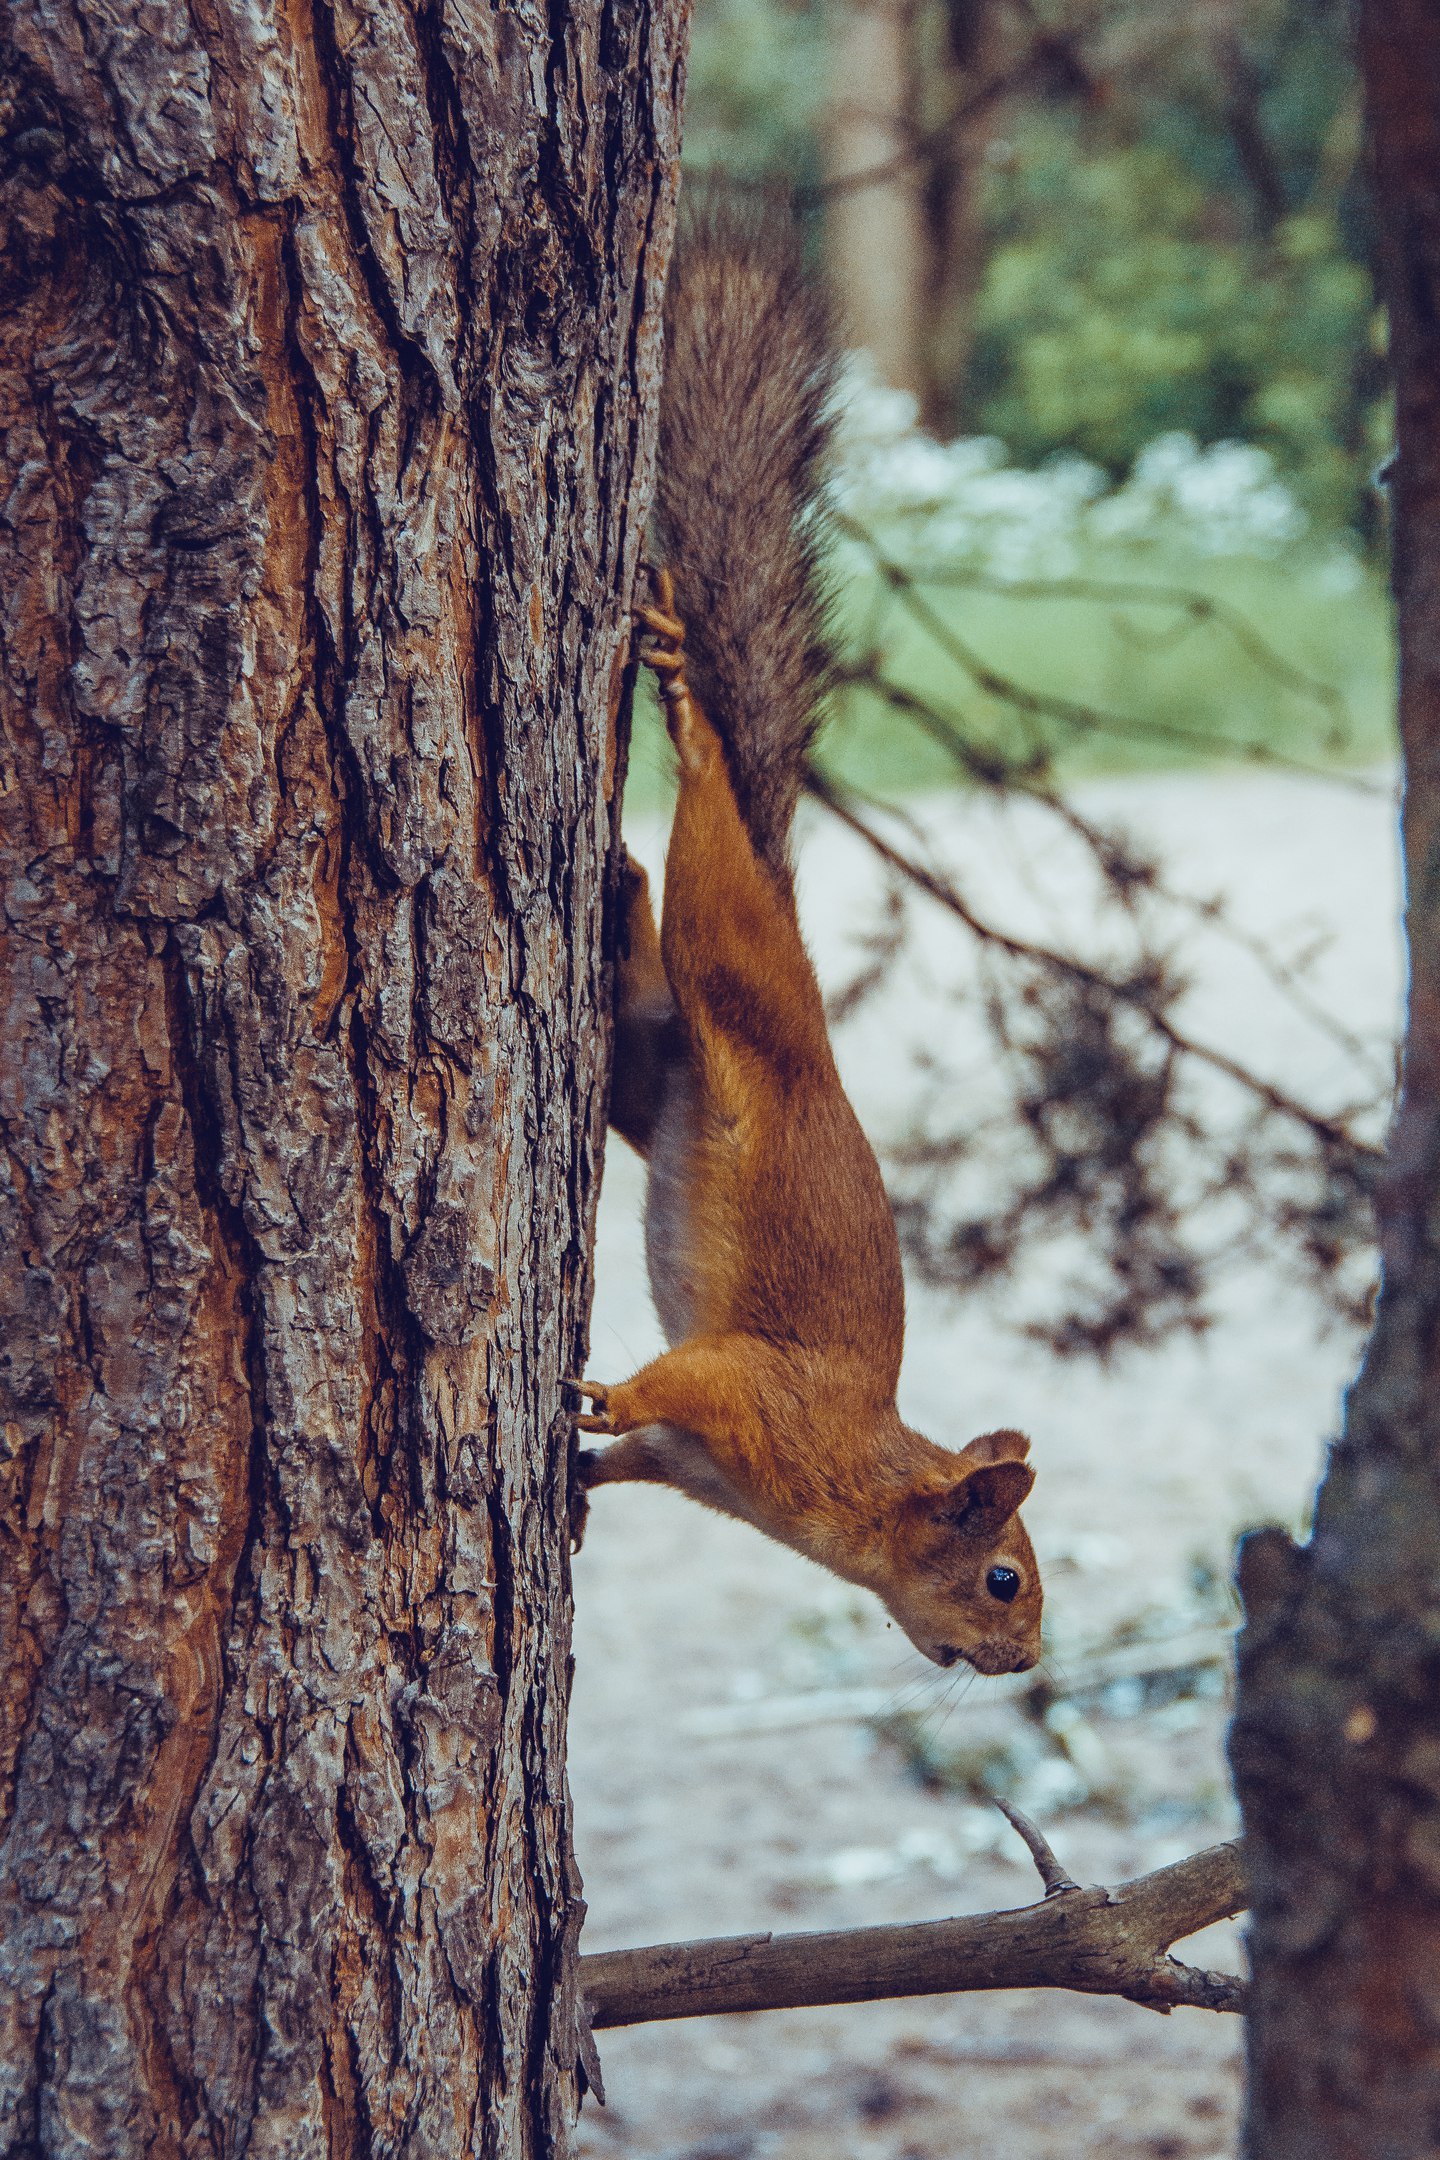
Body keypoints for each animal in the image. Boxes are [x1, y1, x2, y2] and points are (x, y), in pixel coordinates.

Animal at [569, 194, 1040, 1676]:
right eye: (1003, 1580)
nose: (1024, 1665)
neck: (864, 1488)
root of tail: (786, 907)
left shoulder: (700, 1466)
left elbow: (638, 1455)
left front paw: (583, 1468)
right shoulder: (754, 1397)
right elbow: (679, 1376)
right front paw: (601, 1390)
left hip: (645, 1073)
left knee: (643, 995)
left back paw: (614, 905)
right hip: (737, 940)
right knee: (710, 824)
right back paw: (687, 716)